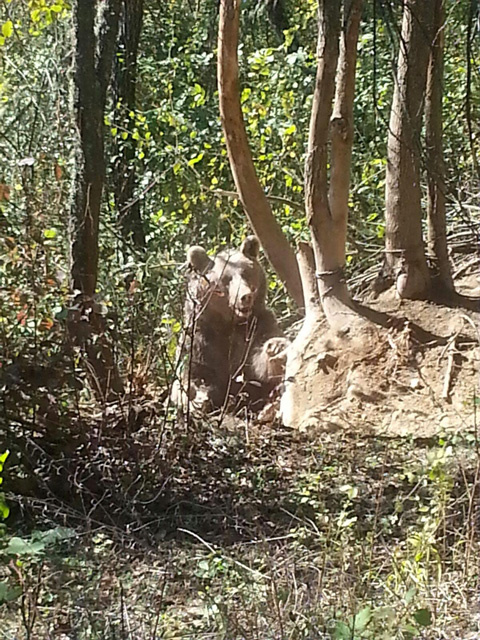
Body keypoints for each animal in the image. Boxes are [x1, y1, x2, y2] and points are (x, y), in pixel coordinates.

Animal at [172, 238, 288, 412]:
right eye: (226, 279)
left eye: (246, 273)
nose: (245, 296)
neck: (229, 324)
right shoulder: (200, 339)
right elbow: (192, 373)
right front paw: (194, 397)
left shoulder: (257, 327)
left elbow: (257, 368)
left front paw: (276, 347)